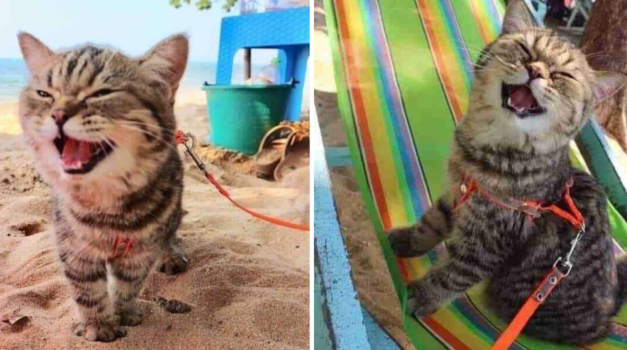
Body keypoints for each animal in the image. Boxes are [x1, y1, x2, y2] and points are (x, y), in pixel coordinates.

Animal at [17, 33, 189, 342]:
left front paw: (123, 312)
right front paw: (99, 325)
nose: (58, 114)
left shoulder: (140, 252)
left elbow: (130, 283)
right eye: (45, 94)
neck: (107, 202)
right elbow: (87, 290)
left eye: (101, 93)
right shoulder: (74, 249)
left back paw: (170, 253)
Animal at [388, 0, 627, 344]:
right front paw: (408, 241)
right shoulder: (456, 192)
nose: (536, 71)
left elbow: (452, 276)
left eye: (562, 74)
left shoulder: (489, 241)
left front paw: (421, 295)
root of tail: (607, 316)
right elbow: (431, 223)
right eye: (526, 51)